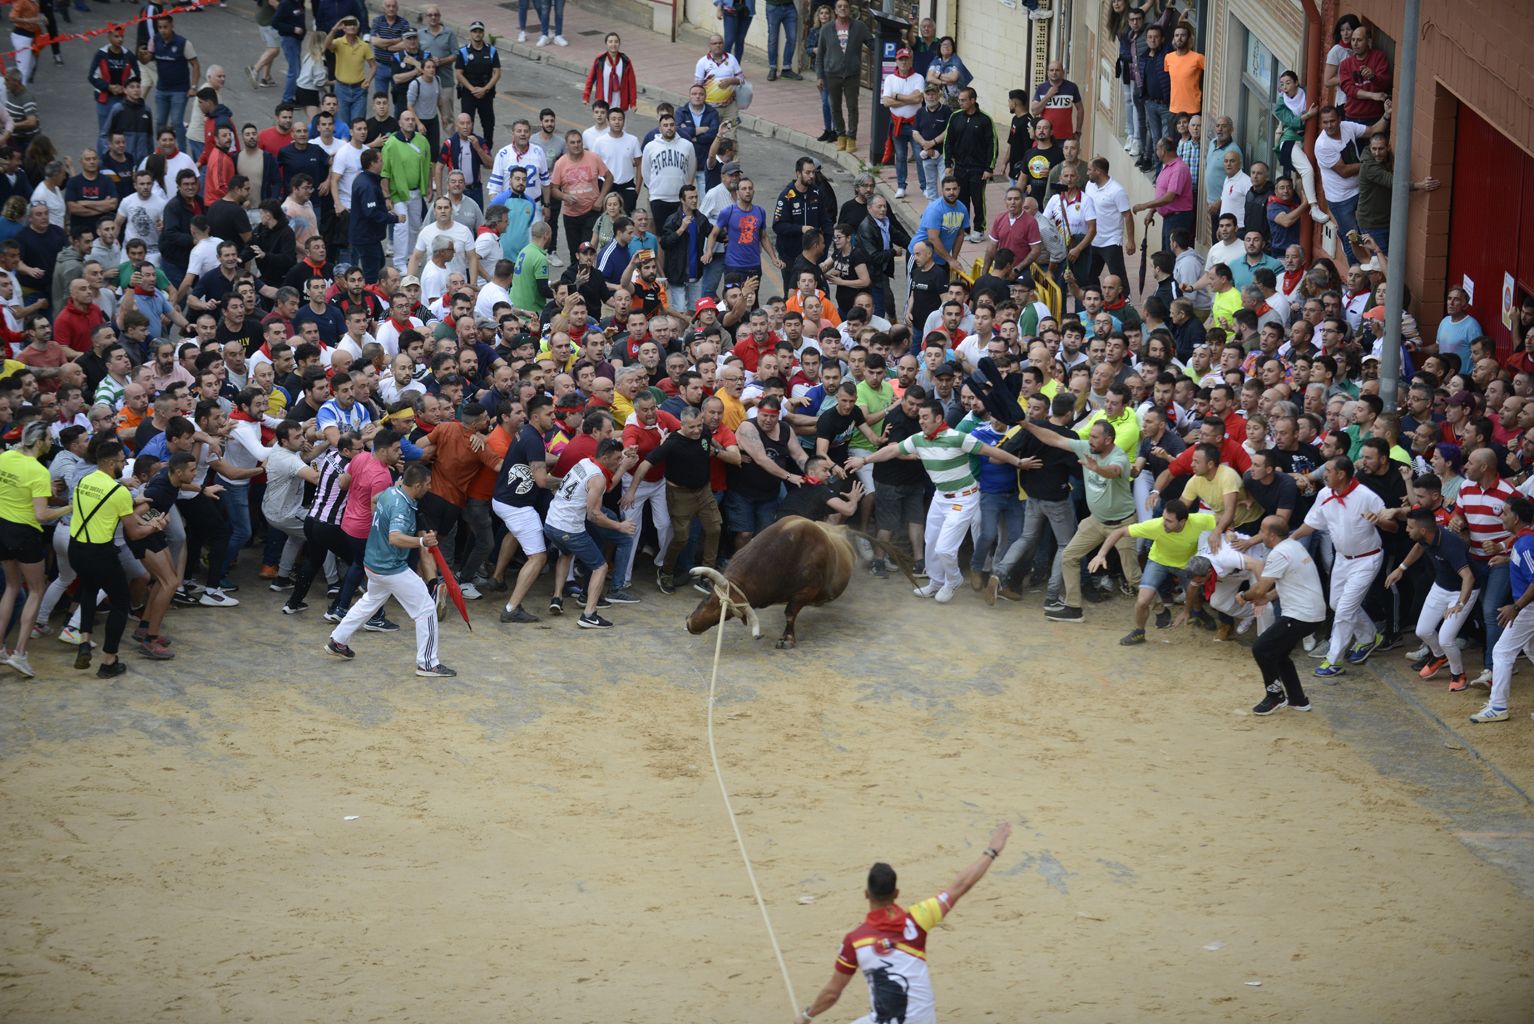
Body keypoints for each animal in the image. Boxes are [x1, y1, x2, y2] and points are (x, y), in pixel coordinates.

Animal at [690, 515, 914, 653]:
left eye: (727, 613)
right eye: (708, 598)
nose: (691, 624)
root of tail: (841, 529)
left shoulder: (805, 591)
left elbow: (790, 614)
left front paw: (787, 639)